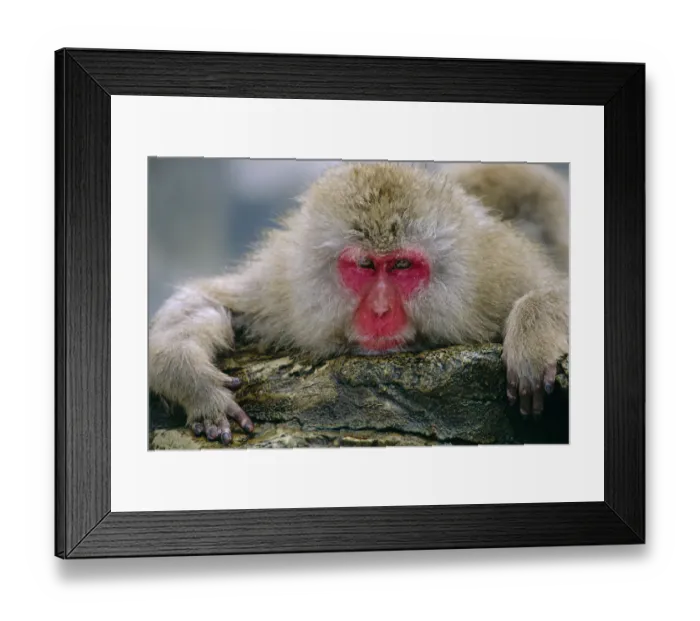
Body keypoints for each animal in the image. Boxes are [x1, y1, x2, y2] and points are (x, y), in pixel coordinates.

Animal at [148, 162, 569, 445]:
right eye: (365, 265)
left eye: (402, 266)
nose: (380, 312)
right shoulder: (280, 290)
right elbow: (210, 301)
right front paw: (194, 382)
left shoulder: (493, 282)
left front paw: (532, 338)